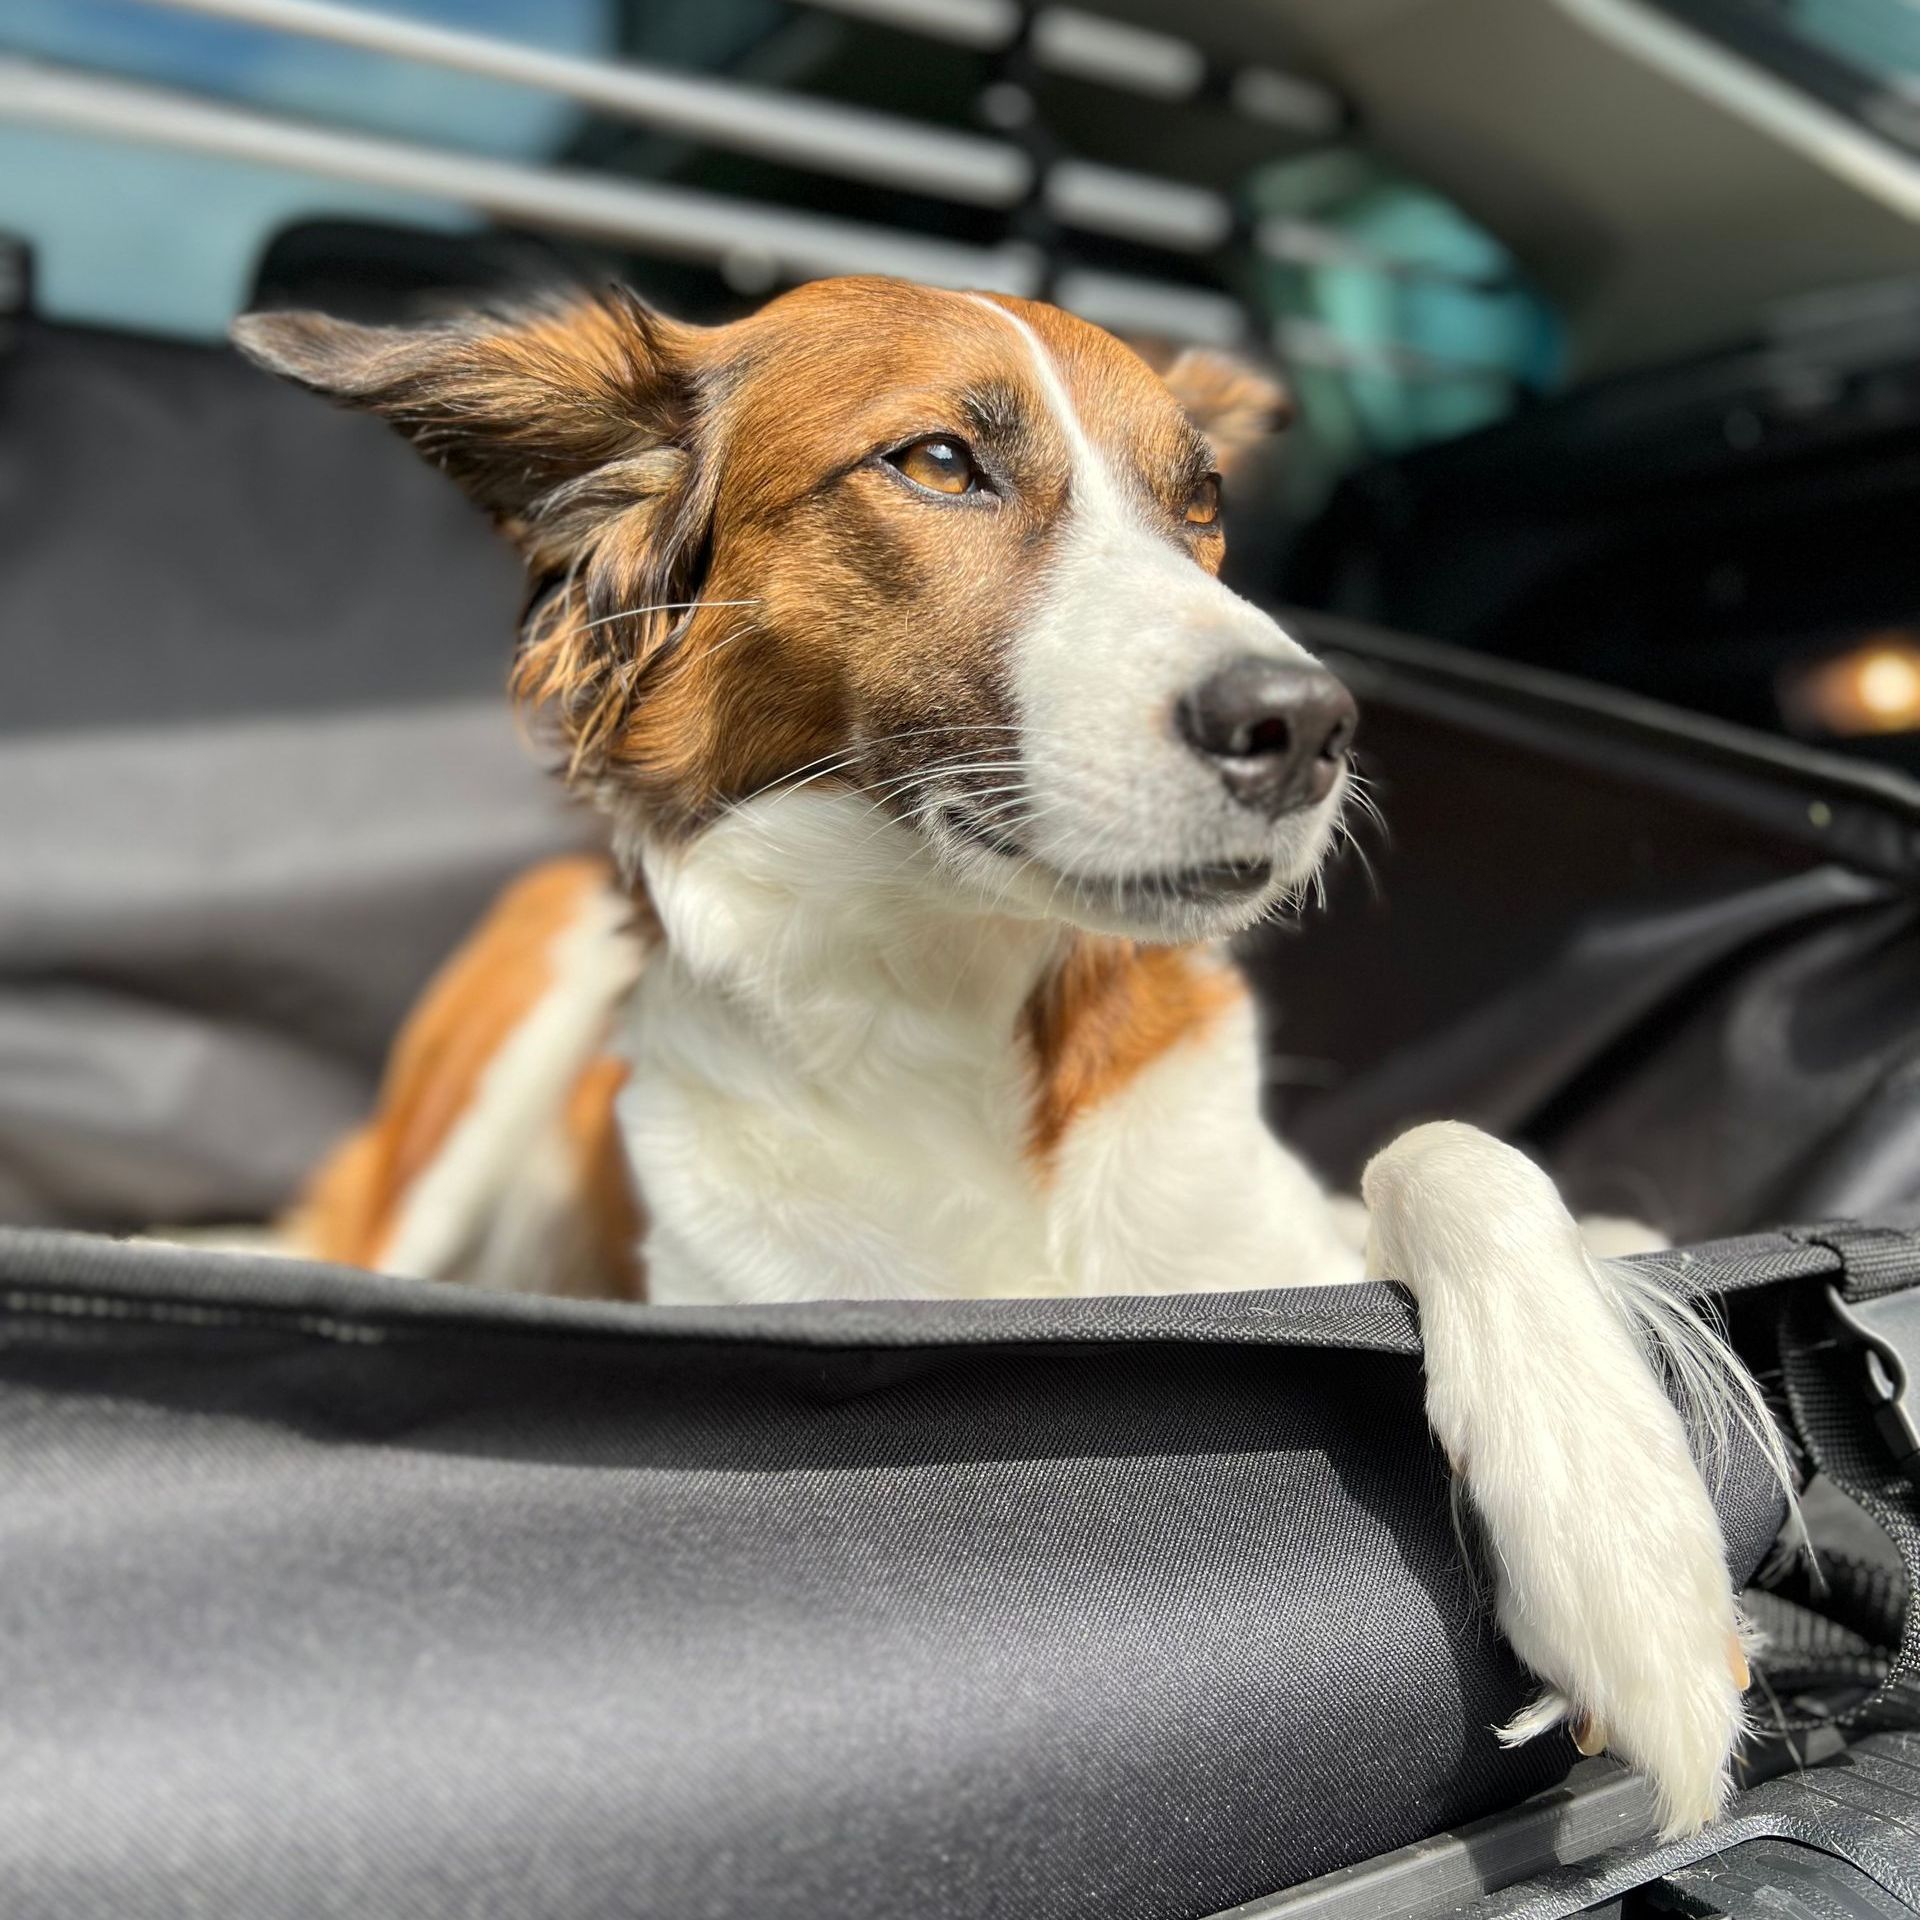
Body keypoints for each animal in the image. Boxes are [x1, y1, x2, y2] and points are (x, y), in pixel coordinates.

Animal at [236, 278, 1781, 1835]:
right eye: (935, 463)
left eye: (1202, 500)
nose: (1306, 726)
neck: (957, 1003)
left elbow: (1454, 1154)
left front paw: (1622, 1539)